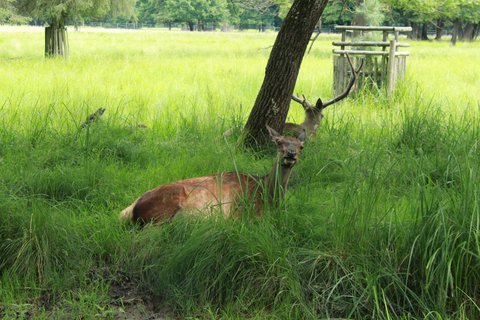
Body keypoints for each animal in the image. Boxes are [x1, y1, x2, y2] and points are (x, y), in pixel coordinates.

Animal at [122, 125, 306, 225]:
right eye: (279, 142)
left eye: (301, 146)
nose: (290, 154)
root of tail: (129, 210)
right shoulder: (240, 212)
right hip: (163, 211)